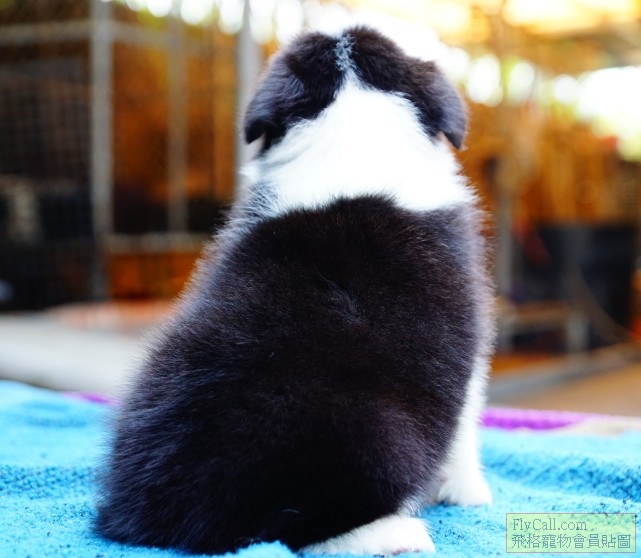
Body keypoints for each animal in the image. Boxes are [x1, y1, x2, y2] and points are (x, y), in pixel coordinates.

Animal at [96, 25, 494, 555]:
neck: (351, 130)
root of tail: (157, 519)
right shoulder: (467, 347)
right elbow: (467, 426)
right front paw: (471, 493)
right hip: (376, 434)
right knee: (305, 530)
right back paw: (395, 532)